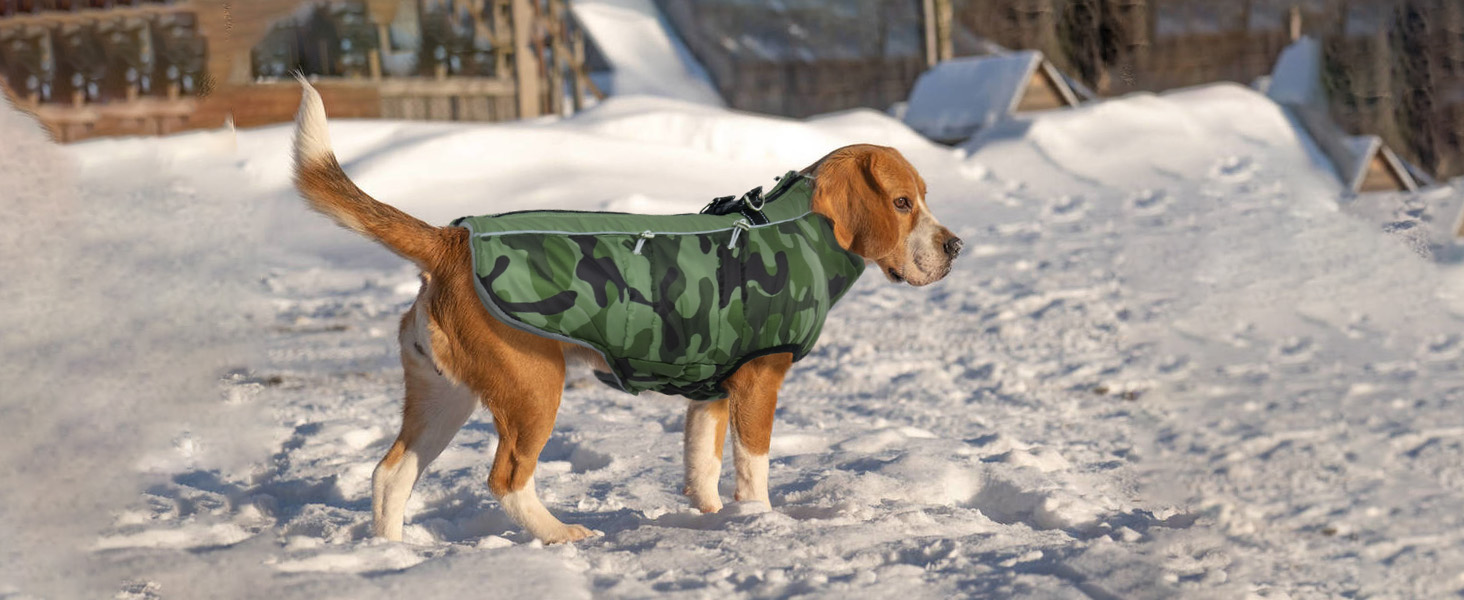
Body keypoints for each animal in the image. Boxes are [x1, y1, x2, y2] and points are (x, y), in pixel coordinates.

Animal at [291, 79, 966, 544]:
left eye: (924, 199)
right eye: (902, 203)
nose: (955, 247)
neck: (796, 224)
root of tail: (452, 240)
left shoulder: (712, 391)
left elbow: (701, 466)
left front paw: (712, 519)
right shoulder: (759, 382)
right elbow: (753, 470)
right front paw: (759, 522)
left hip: (444, 395)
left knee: (390, 474)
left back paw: (393, 555)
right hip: (533, 387)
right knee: (506, 480)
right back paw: (560, 535)